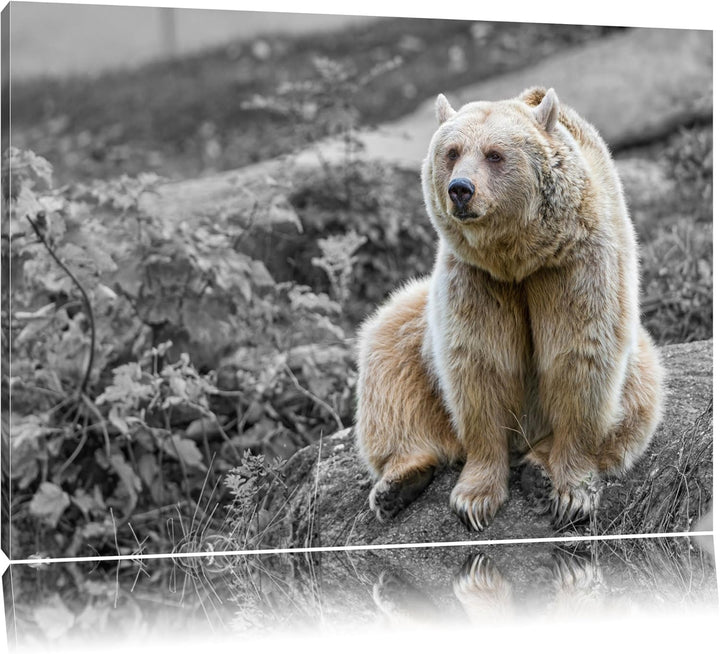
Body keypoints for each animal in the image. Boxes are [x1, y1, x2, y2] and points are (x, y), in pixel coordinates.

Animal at [355, 87, 665, 531]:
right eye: (452, 152)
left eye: (495, 154)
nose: (460, 189)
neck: (519, 257)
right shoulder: (477, 279)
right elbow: (479, 363)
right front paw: (474, 499)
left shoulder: (575, 266)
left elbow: (579, 357)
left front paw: (572, 494)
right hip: (414, 323)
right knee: (388, 362)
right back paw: (398, 482)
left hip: (639, 359)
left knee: (638, 398)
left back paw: (538, 468)